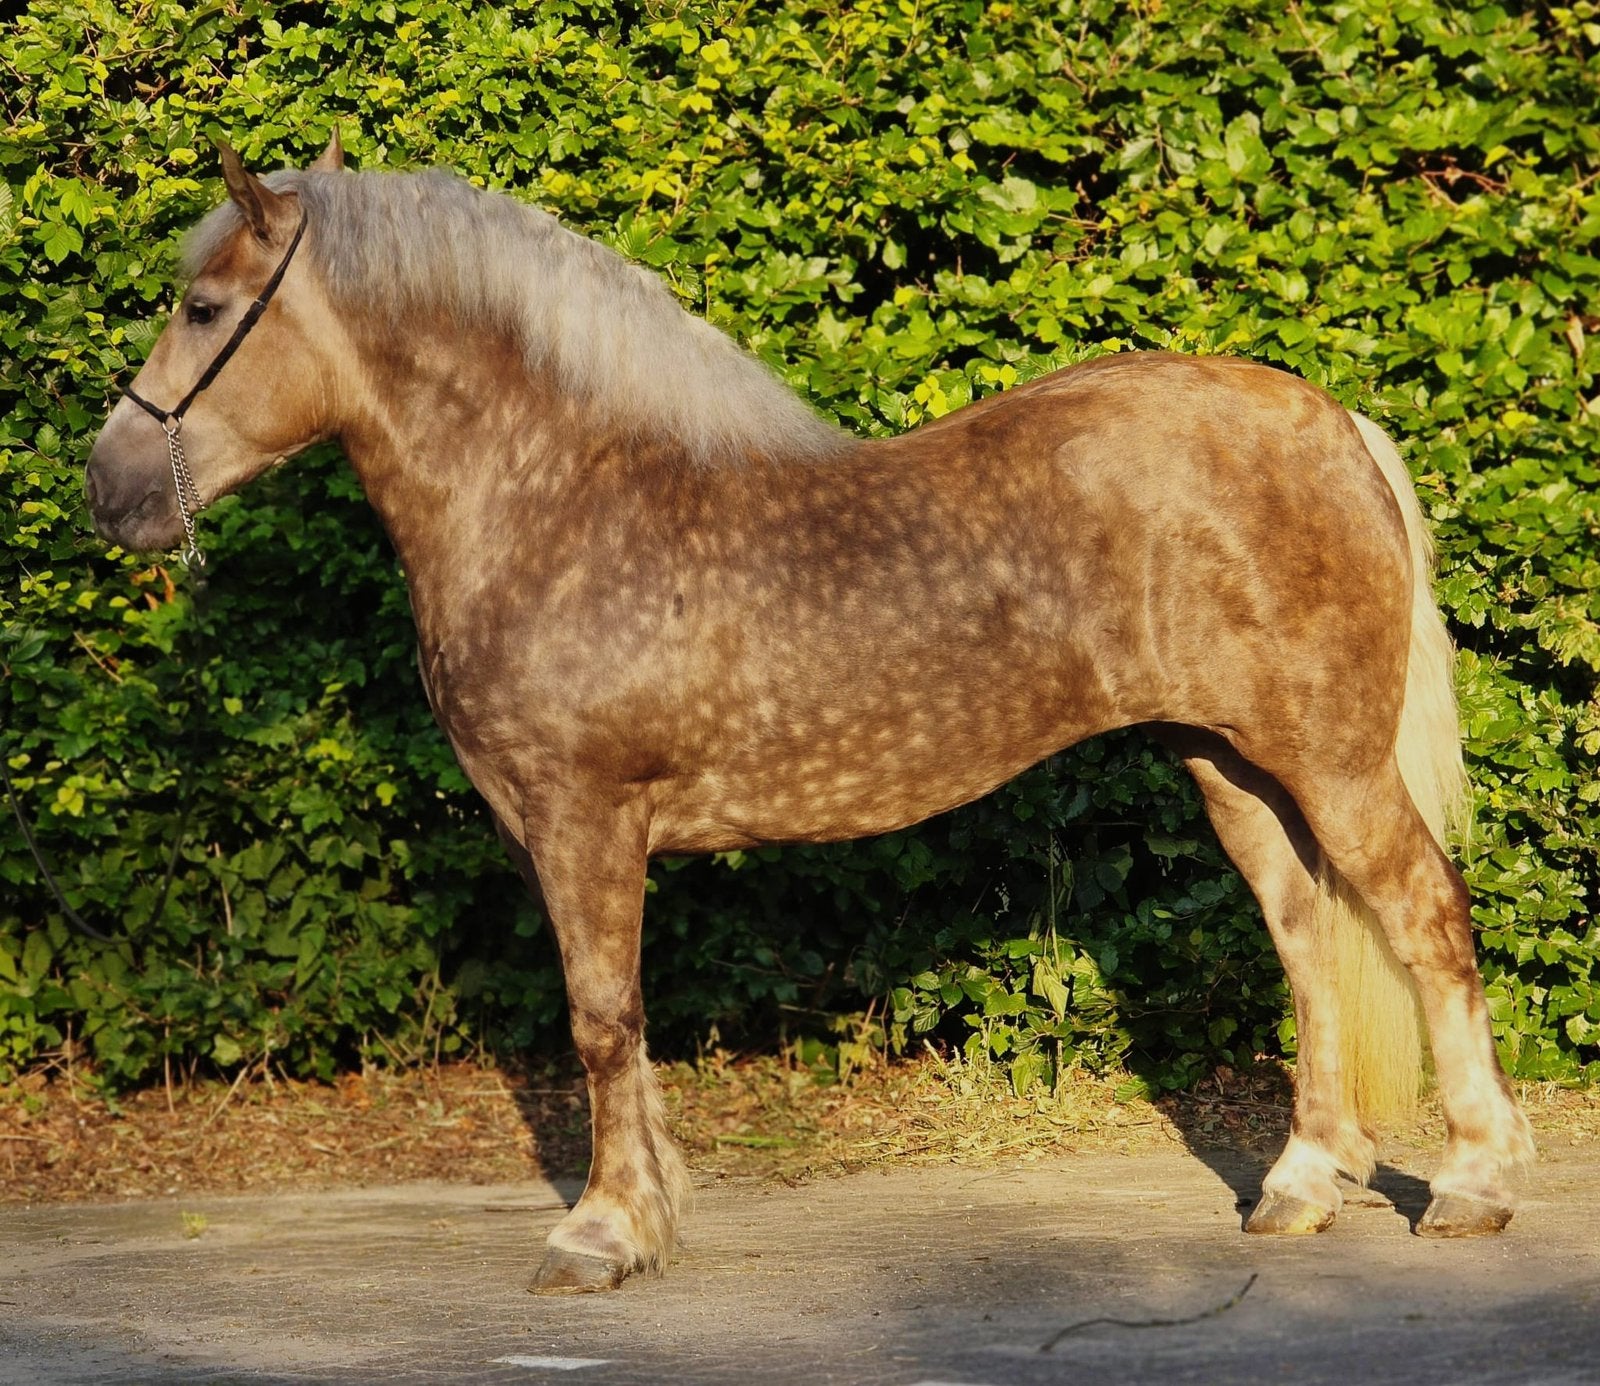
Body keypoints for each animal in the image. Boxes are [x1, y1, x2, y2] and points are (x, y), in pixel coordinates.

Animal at [85, 137, 1535, 1293]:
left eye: (204, 306)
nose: (111, 489)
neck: (554, 496)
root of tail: (1331, 418)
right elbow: (626, 1023)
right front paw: (650, 1212)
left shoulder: (582, 819)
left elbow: (598, 1019)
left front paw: (599, 1234)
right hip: (1232, 764)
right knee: (1306, 937)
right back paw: (1298, 1185)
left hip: (1329, 759)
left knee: (1423, 912)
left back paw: (1473, 1185)